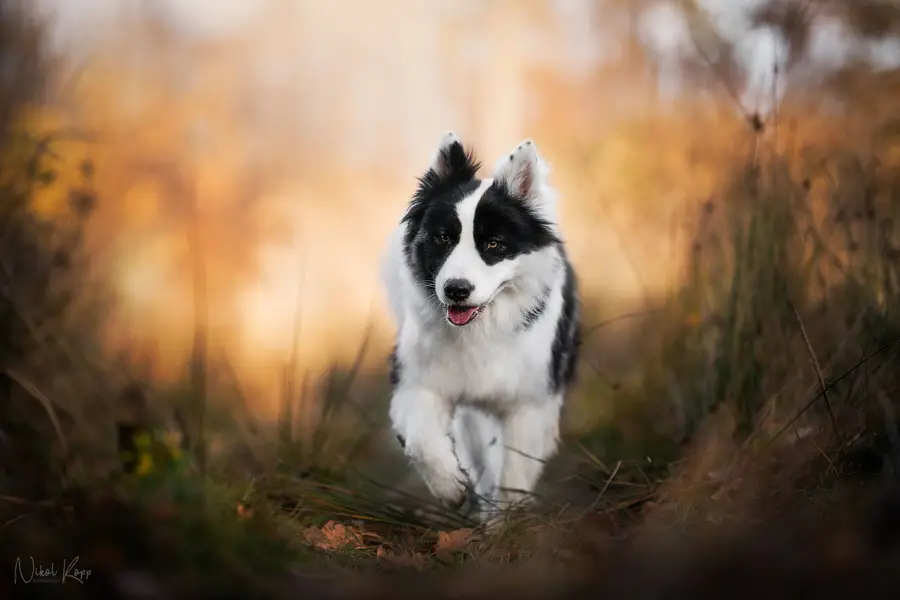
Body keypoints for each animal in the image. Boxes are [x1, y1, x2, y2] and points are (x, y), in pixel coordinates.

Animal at [382, 130, 580, 520]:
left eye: (493, 243)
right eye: (443, 237)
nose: (456, 290)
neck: (481, 329)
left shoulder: (530, 404)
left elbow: (514, 475)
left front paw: (506, 526)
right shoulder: (418, 381)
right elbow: (421, 441)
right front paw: (449, 487)